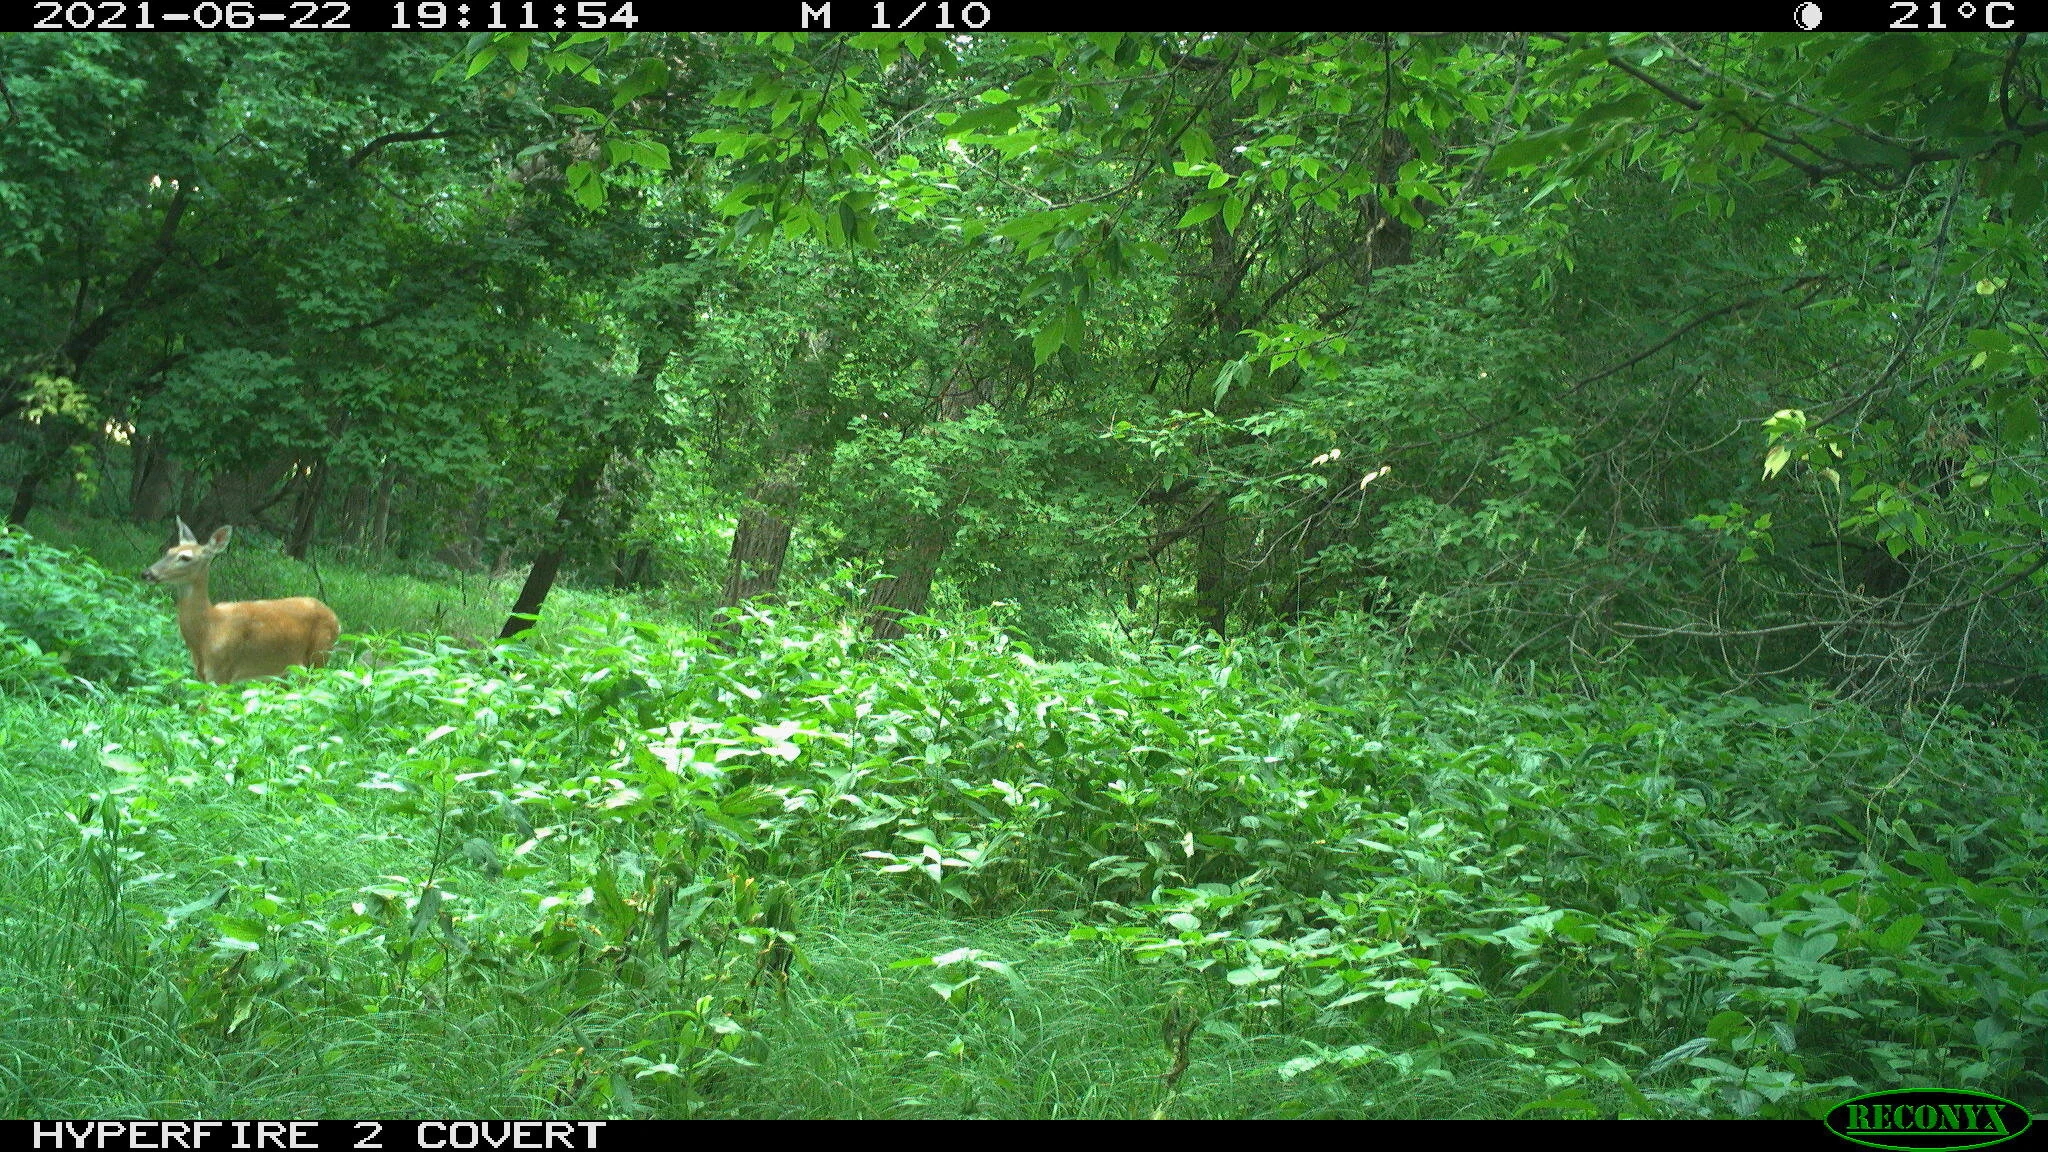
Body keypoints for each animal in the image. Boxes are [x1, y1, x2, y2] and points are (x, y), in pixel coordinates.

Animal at [143, 517, 340, 684]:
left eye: (185, 557)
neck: (208, 629)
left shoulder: (221, 672)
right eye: (169, 551)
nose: (147, 573)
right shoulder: (202, 675)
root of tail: (336, 619)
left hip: (319, 655)